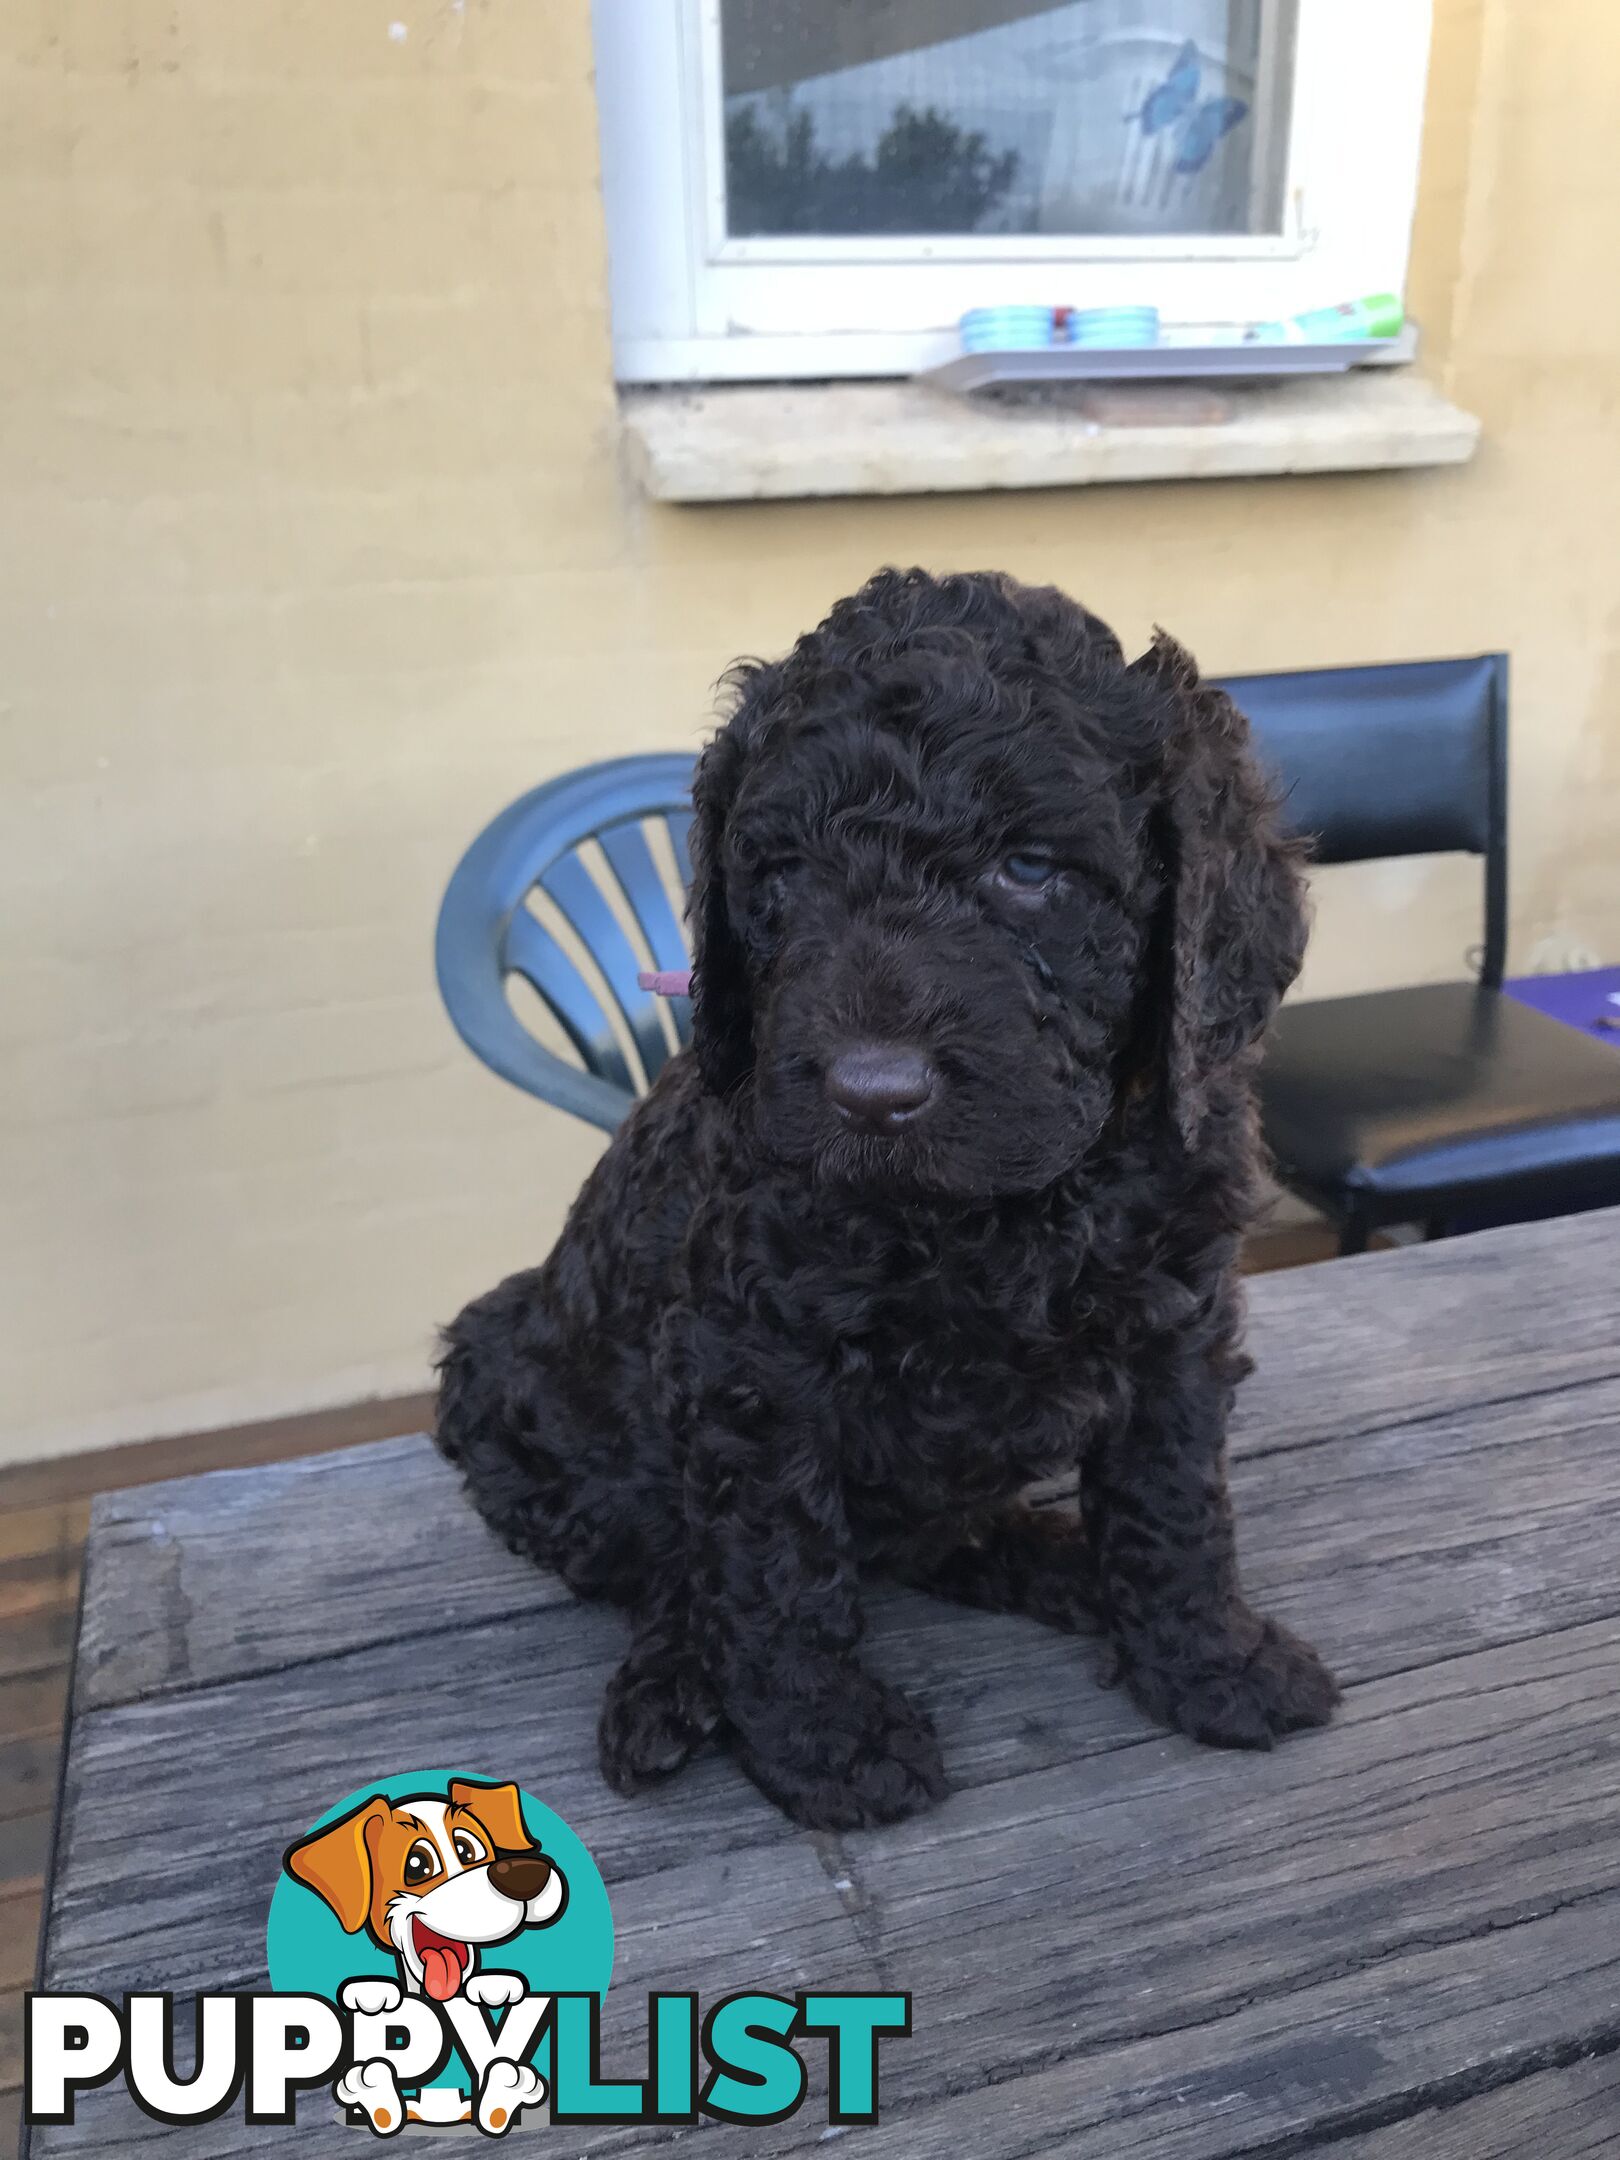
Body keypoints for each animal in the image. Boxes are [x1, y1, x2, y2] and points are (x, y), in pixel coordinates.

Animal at [438, 570, 1339, 1823]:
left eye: (1029, 870)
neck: (1002, 1211)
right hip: (511, 1389)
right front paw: (828, 1739)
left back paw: (1056, 1564)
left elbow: (1173, 1506)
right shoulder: (751, 1353)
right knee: (669, 1561)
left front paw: (1208, 1660)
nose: (872, 1096)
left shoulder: (1177, 1321)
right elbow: (773, 1562)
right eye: (780, 878)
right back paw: (673, 1686)